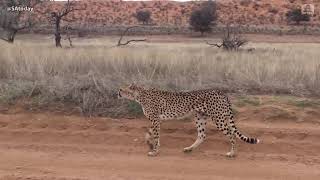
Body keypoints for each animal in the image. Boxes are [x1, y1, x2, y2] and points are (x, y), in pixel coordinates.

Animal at [117, 83, 260, 157]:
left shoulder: (156, 120)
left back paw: (232, 153)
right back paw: (189, 149)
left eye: (121, 89)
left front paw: (154, 151)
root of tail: (221, 92)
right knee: (202, 135)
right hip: (200, 117)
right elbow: (149, 134)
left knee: (232, 134)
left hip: (218, 118)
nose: (117, 93)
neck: (139, 95)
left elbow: (156, 136)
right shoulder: (157, 120)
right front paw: (150, 145)